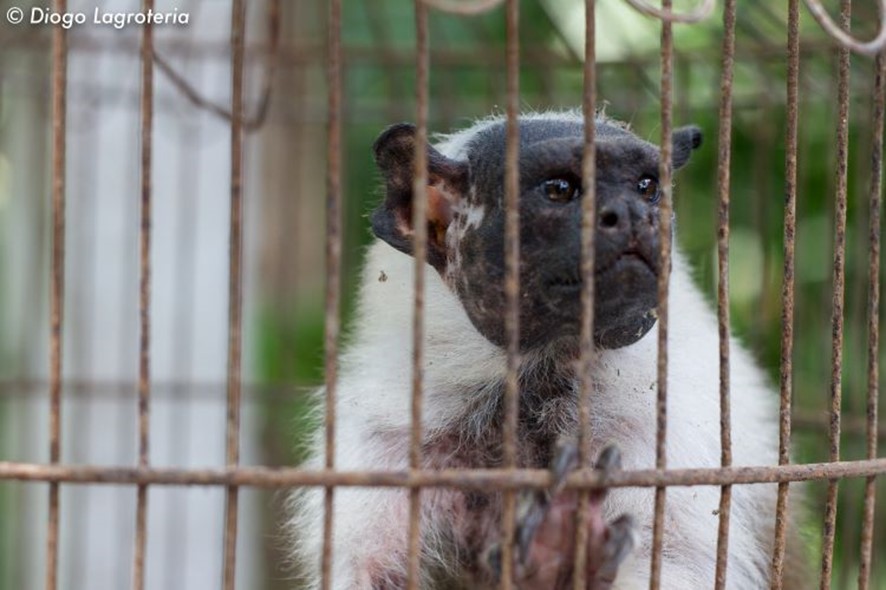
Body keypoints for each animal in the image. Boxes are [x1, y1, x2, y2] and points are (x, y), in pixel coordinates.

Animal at [288, 112, 808, 590]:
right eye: (559, 189)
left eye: (647, 187)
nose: (632, 215)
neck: (533, 383)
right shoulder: (386, 448)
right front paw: (553, 552)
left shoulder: (660, 445)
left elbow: (679, 565)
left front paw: (563, 553)